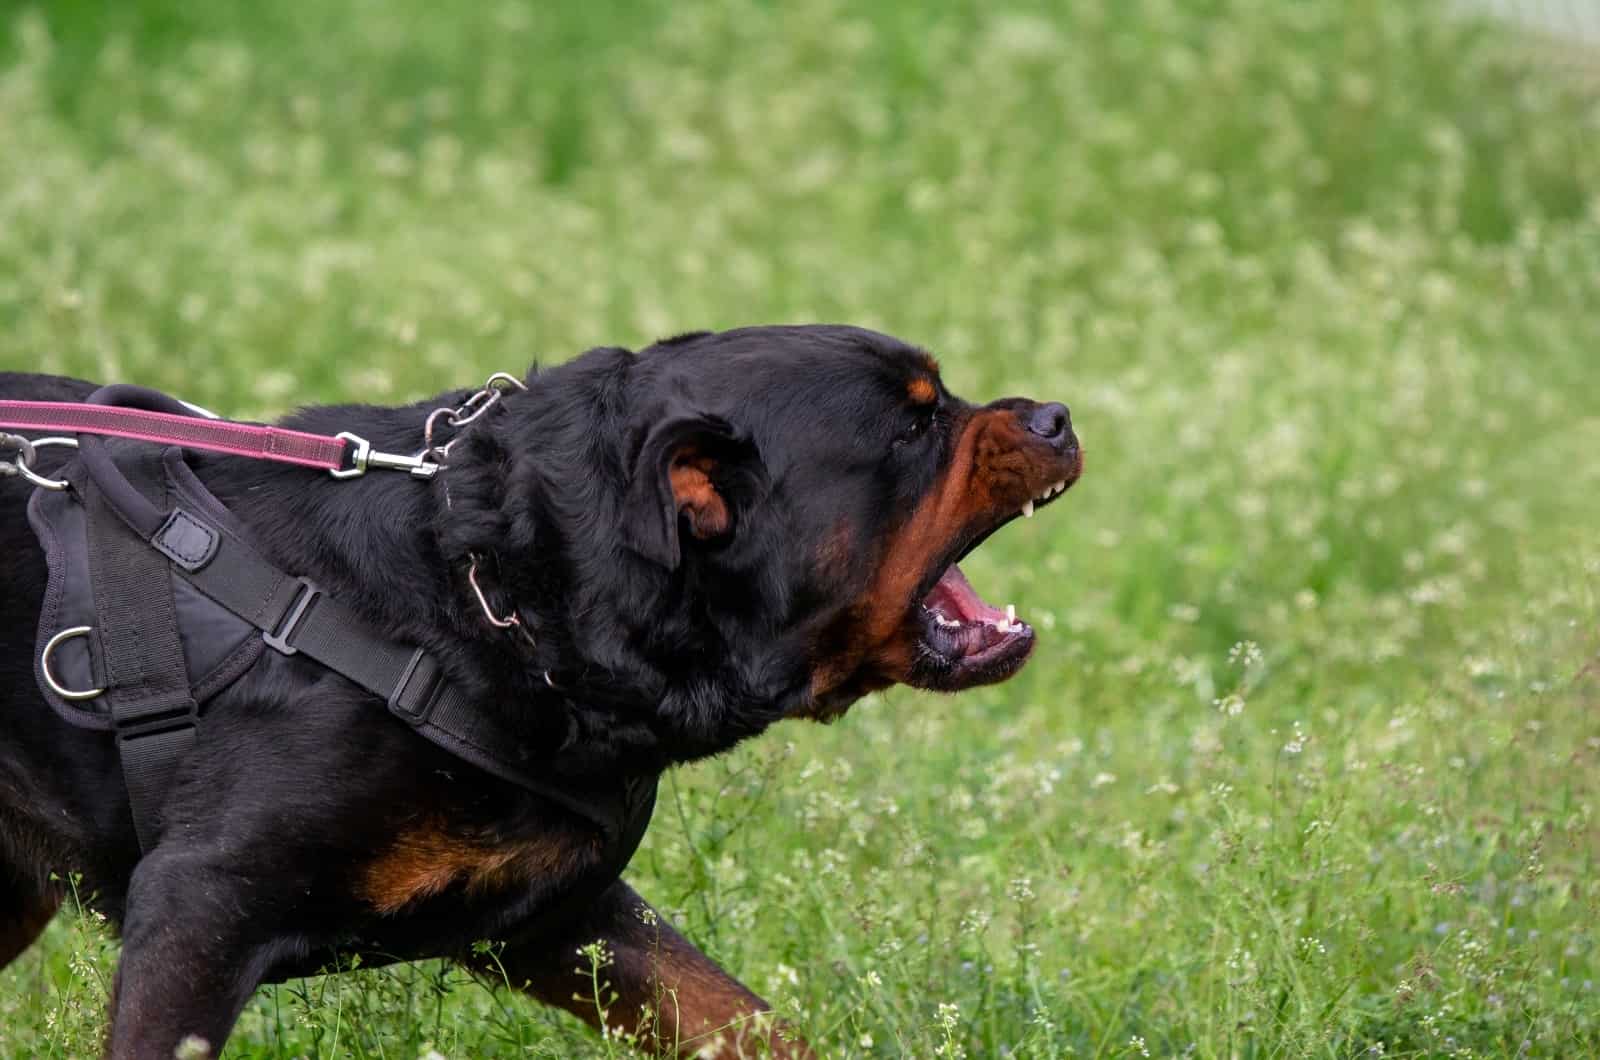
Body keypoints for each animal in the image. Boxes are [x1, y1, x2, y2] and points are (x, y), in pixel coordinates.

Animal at [0, 328, 1081, 1056]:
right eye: (913, 424)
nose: (1056, 417)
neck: (488, 599)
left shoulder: (560, 916)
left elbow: (740, 1016)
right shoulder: (199, 902)